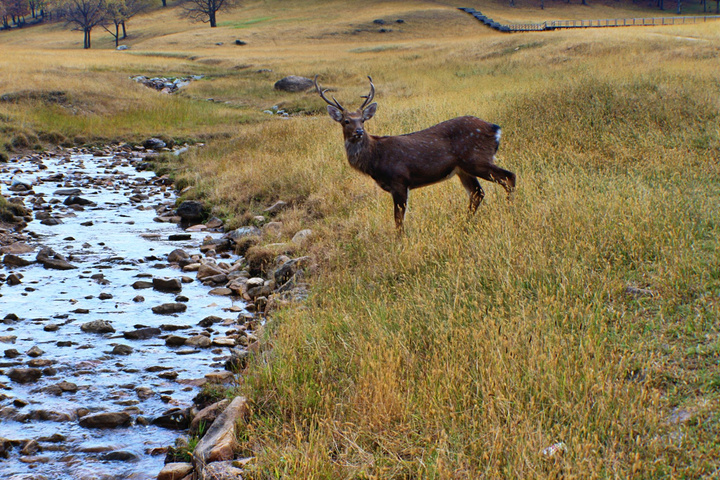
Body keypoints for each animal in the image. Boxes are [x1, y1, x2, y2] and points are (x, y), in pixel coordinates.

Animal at [316, 75, 516, 232]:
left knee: (508, 177)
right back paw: (466, 223)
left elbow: (398, 220)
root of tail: (496, 129)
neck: (376, 159)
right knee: (477, 193)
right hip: (463, 169)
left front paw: (399, 242)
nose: (359, 131)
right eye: (346, 121)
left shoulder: (399, 180)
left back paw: (510, 211)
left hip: (476, 159)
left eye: (362, 120)